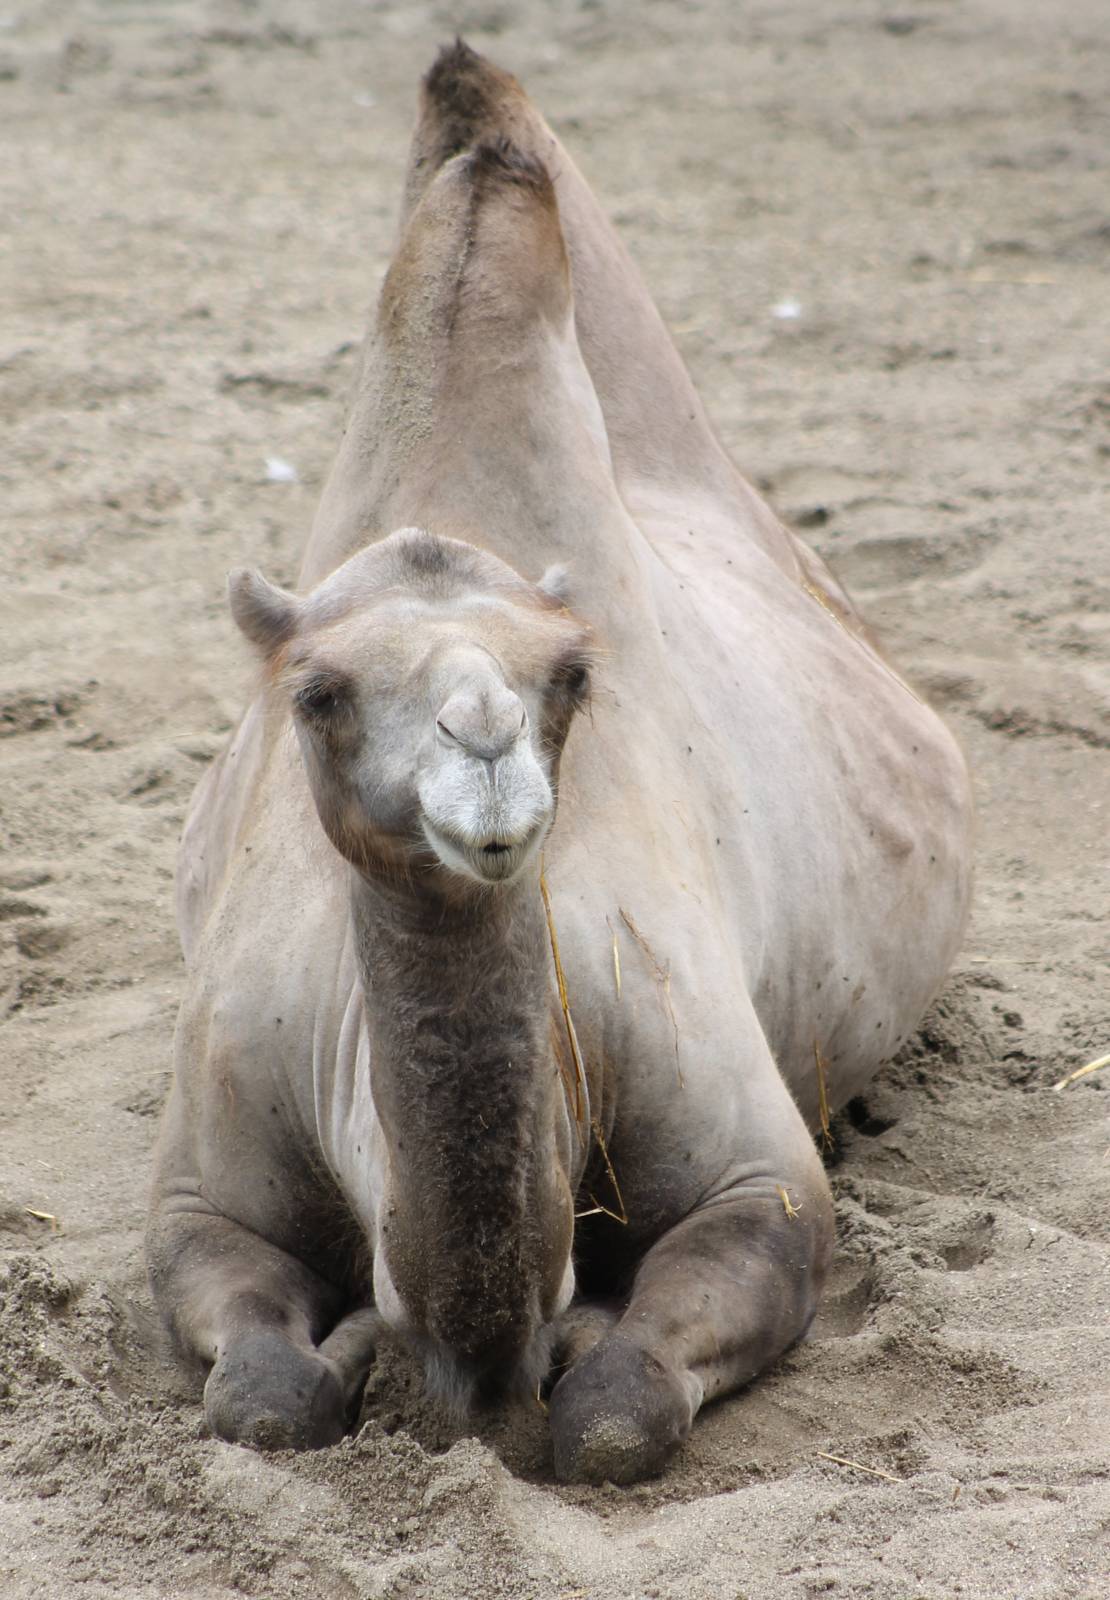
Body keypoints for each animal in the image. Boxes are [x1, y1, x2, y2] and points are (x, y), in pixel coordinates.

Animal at [147, 43, 973, 1484]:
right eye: (316, 692)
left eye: (574, 676)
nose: (485, 751)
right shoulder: (204, 1178)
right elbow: (265, 1397)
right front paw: (347, 1346)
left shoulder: (751, 1166)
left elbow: (613, 1415)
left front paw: (577, 1337)